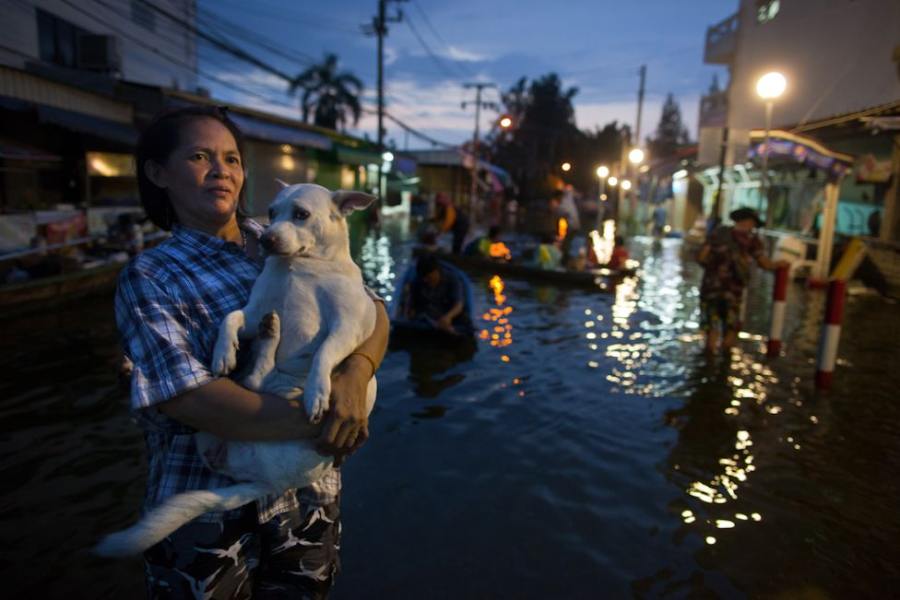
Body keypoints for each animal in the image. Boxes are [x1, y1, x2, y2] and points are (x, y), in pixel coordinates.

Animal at [96, 184, 378, 556]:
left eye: (301, 214)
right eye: (271, 212)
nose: (267, 239)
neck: (300, 266)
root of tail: (264, 482)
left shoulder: (348, 327)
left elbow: (324, 353)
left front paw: (318, 392)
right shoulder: (253, 310)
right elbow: (230, 318)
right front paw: (222, 353)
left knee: (259, 376)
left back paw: (272, 342)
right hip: (213, 427)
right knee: (254, 376)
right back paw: (262, 339)